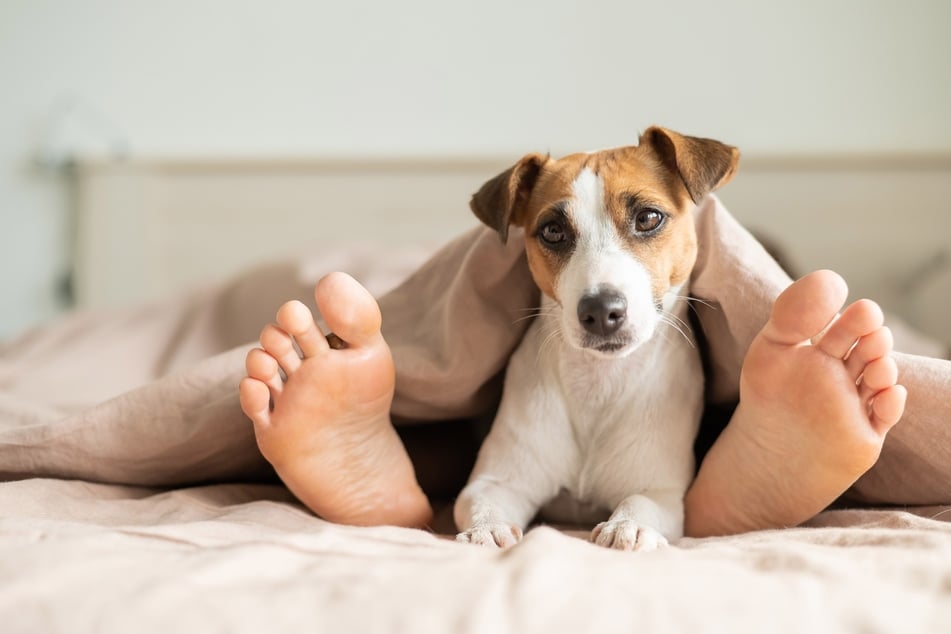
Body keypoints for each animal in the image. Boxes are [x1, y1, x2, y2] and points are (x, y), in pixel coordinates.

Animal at [458, 127, 740, 548]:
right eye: (553, 231)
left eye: (648, 218)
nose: (601, 311)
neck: (598, 383)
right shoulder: (497, 480)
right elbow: (483, 502)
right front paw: (484, 530)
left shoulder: (663, 491)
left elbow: (641, 501)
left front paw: (628, 525)